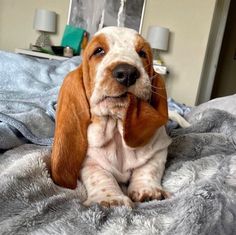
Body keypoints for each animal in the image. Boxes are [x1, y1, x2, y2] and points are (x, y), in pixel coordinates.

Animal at [51, 26, 172, 207]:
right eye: (98, 51)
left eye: (142, 53)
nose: (127, 73)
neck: (116, 128)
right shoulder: (89, 160)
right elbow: (100, 175)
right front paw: (110, 198)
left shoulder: (159, 148)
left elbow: (149, 168)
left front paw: (148, 191)